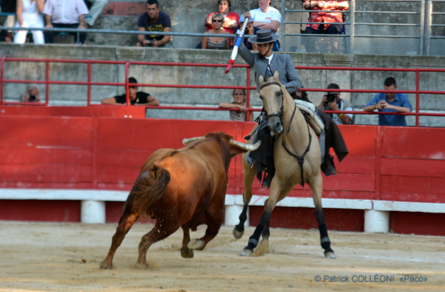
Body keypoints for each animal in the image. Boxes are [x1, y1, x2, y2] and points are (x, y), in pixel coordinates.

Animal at [99, 132, 260, 270]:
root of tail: (159, 167)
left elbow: (186, 229)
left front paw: (186, 248)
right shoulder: (216, 209)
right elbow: (210, 232)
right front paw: (195, 244)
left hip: (133, 208)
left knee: (119, 234)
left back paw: (107, 263)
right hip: (169, 221)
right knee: (145, 239)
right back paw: (142, 264)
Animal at [232, 72, 332, 258]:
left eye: (279, 93)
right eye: (261, 96)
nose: (274, 125)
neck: (298, 142)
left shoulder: (316, 179)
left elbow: (319, 212)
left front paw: (327, 246)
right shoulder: (278, 179)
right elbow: (266, 213)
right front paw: (250, 244)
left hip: (289, 185)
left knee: (266, 203)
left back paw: (265, 237)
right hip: (250, 171)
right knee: (248, 196)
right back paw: (240, 229)